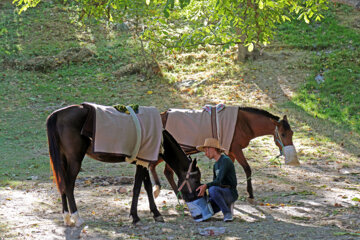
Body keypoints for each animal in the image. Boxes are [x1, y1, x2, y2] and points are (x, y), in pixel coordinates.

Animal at [46, 104, 201, 226]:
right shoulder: (143, 162)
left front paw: (155, 213)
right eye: (195, 179)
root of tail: (57, 114)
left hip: (63, 160)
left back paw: (67, 217)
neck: (160, 137)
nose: (197, 196)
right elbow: (137, 188)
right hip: (74, 160)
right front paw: (136, 217)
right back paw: (76, 217)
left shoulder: (142, 161)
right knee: (68, 185)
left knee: (62, 185)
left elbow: (147, 187)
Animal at [149, 107, 298, 201]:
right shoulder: (236, 149)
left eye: (292, 133)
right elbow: (247, 169)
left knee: (162, 169)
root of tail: (161, 116)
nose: (292, 159)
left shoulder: (230, 152)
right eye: (283, 134)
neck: (244, 123)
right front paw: (250, 194)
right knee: (161, 169)